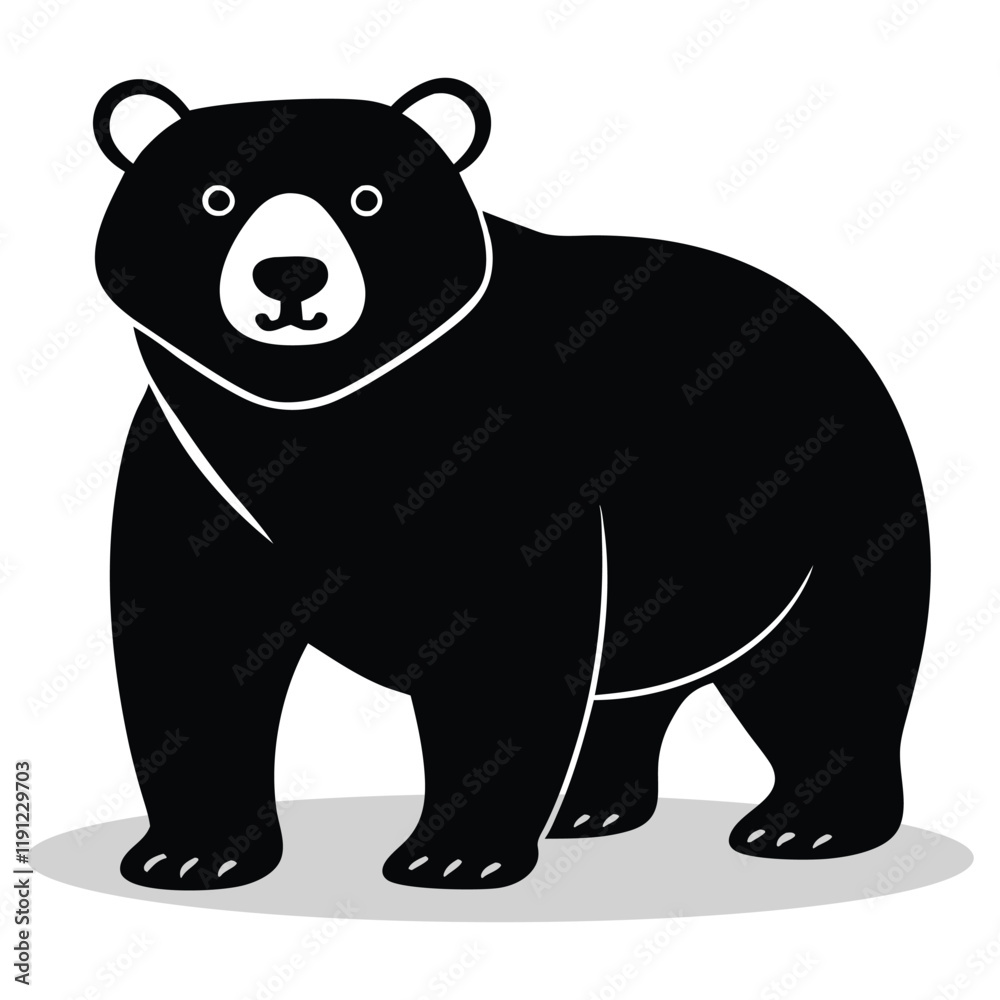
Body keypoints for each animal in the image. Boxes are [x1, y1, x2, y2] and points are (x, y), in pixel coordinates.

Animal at [93, 77, 930, 891]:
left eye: (367, 198)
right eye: (215, 198)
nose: (290, 275)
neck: (328, 413)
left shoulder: (506, 448)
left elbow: (508, 641)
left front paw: (453, 856)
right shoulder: (197, 467)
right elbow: (190, 641)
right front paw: (189, 856)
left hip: (830, 498)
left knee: (828, 658)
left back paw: (803, 826)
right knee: (632, 685)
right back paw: (590, 807)